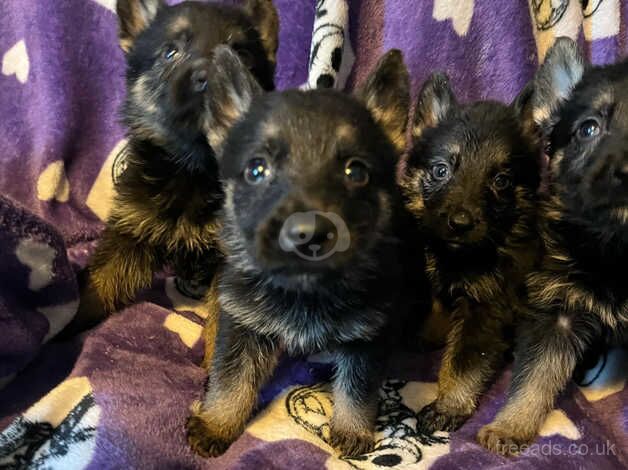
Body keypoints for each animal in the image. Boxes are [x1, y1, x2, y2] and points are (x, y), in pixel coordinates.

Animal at [87, 0, 278, 314]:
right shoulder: (129, 234)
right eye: (170, 52)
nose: (209, 80)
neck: (193, 171)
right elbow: (95, 285)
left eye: (242, 55)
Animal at [185, 49, 422, 458]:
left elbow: (358, 389)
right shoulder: (244, 324)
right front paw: (216, 422)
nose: (308, 235)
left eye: (356, 172)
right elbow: (231, 380)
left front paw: (352, 429)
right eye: (256, 170)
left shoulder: (369, 337)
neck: (306, 290)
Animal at [402, 72, 544, 434]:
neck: (457, 256)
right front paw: (430, 332)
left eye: (502, 181)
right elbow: (437, 306)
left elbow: (465, 362)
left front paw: (449, 405)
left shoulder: (486, 309)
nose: (460, 224)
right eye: (441, 170)